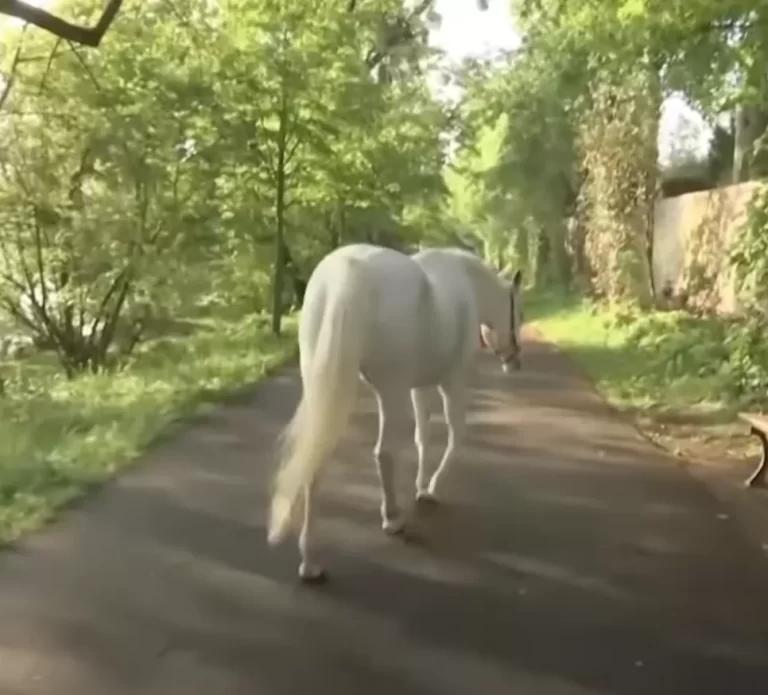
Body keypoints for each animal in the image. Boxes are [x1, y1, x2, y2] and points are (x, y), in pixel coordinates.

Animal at [267, 243, 524, 582]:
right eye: (519, 313)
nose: (514, 362)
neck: (468, 287)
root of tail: (346, 271)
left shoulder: (419, 387)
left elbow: (422, 437)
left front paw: (421, 486)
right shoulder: (451, 382)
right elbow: (456, 434)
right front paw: (432, 489)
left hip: (326, 384)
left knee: (316, 456)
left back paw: (310, 561)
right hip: (391, 390)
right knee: (385, 452)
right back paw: (392, 519)